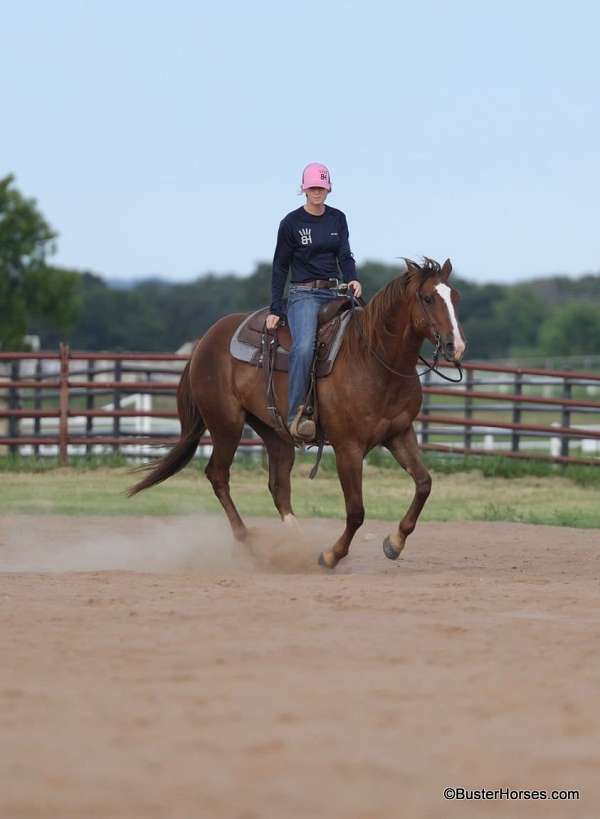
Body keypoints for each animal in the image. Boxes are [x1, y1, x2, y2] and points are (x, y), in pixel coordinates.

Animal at [130, 260, 464, 568]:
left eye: (455, 296)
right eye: (428, 298)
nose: (456, 346)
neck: (373, 359)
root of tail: (205, 340)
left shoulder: (399, 434)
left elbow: (424, 484)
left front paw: (394, 543)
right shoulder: (348, 448)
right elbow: (356, 511)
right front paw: (331, 555)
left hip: (274, 431)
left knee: (278, 485)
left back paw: (295, 544)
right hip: (226, 425)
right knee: (218, 475)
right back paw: (250, 541)